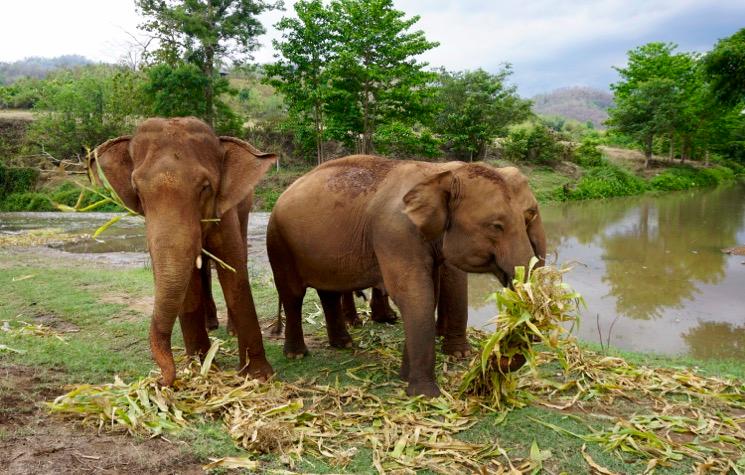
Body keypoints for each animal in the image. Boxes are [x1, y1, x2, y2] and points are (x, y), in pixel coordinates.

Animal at [90, 117, 276, 388]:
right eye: (137, 190)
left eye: (205, 187)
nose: (160, 381)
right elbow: (188, 283)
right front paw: (200, 368)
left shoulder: (224, 211)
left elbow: (233, 269)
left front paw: (258, 376)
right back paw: (211, 325)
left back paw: (228, 330)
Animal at [266, 156, 536, 398]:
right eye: (496, 226)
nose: (494, 361)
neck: (437, 173)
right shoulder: (395, 232)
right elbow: (413, 294)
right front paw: (425, 394)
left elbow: (427, 294)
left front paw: (405, 377)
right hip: (279, 244)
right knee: (293, 294)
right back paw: (297, 354)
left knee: (328, 292)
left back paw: (343, 344)